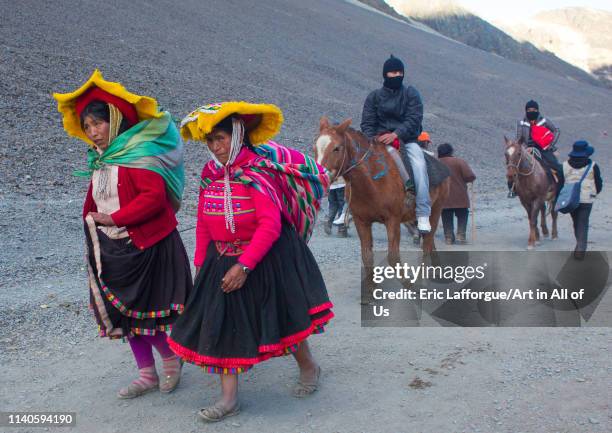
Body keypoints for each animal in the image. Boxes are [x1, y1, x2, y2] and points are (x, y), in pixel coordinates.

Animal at [316, 117, 450, 290]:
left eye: (336, 148)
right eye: (315, 146)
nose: (320, 178)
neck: (373, 180)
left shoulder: (393, 220)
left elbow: (393, 257)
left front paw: (410, 286)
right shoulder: (361, 221)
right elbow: (367, 256)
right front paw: (372, 291)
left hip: (436, 209)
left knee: (426, 246)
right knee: (429, 242)